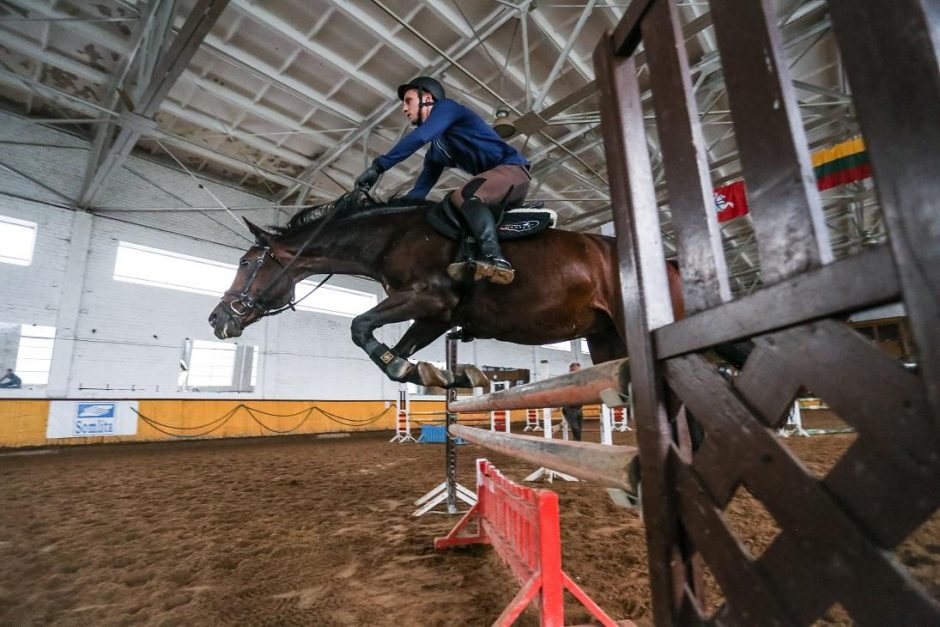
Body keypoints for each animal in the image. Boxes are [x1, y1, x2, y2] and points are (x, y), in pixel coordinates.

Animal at [207, 196, 684, 390]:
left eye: (246, 263)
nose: (217, 318)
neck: (391, 236)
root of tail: (671, 261)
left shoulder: (429, 299)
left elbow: (359, 326)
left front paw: (421, 372)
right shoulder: (435, 316)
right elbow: (395, 352)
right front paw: (444, 376)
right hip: (605, 340)